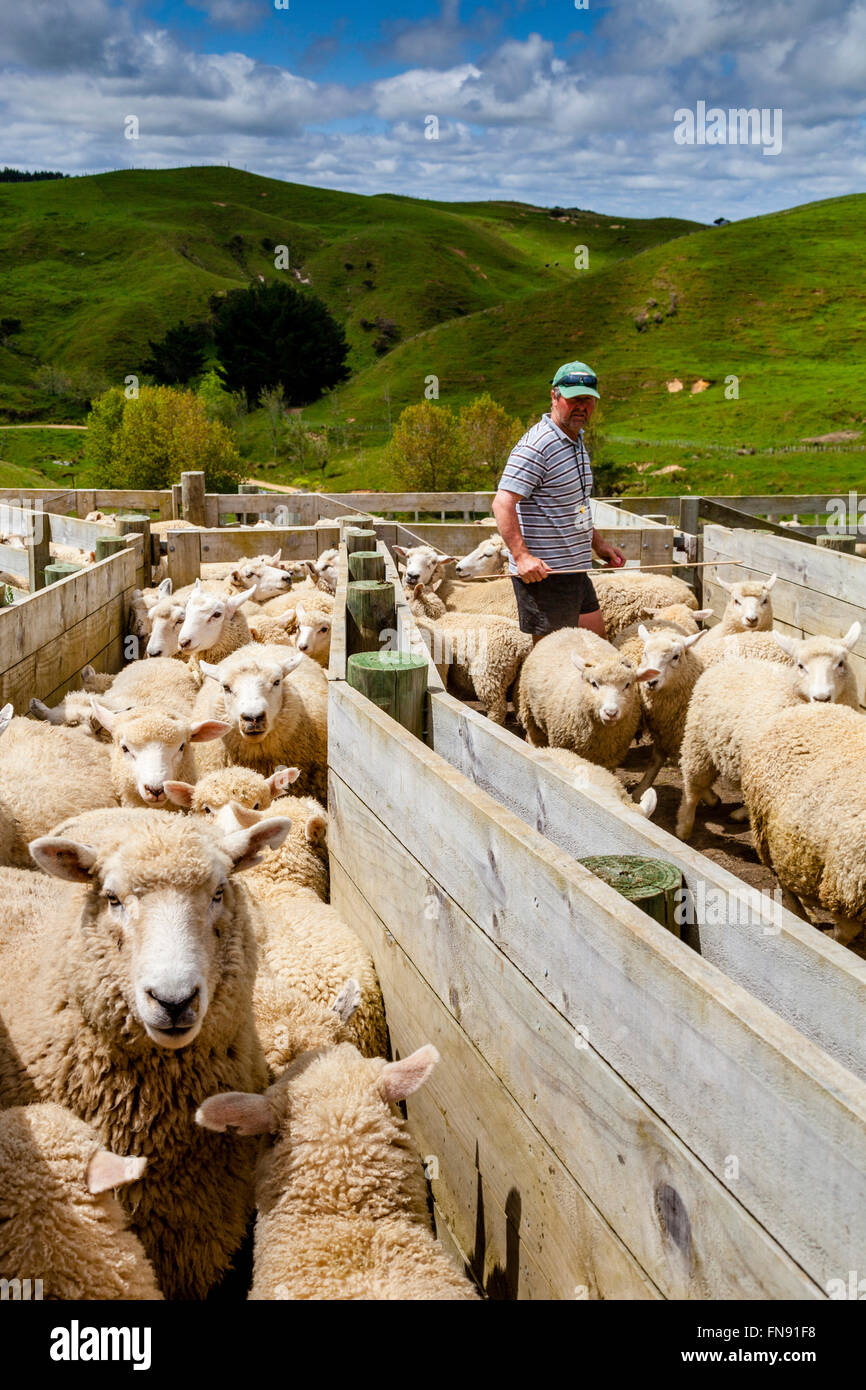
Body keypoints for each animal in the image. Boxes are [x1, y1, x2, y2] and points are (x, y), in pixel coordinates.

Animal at [514, 628, 655, 767]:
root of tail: (568, 629)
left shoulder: (610, 759)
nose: (610, 712)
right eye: (594, 683)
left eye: (627, 684)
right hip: (530, 714)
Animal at [676, 625, 861, 840]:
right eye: (800, 666)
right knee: (692, 785)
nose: (822, 697)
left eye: (841, 663)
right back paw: (684, 827)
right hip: (698, 741)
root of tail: (732, 662)